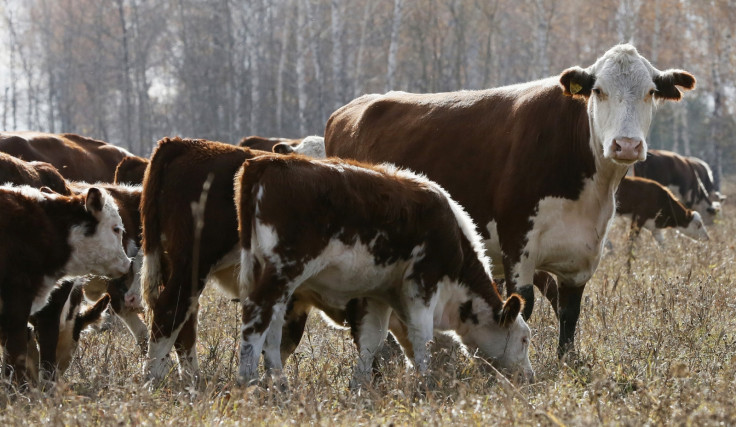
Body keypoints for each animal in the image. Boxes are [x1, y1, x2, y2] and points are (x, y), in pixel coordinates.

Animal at [236, 155, 536, 390]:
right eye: (523, 339)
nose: (529, 378)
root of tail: (265, 162)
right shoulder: (423, 282)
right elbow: (421, 337)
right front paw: (425, 383)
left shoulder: (377, 294)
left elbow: (373, 340)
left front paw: (359, 386)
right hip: (282, 271)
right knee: (256, 319)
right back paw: (248, 381)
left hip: (276, 279)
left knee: (273, 329)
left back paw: (279, 384)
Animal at [326, 43, 696, 358]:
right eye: (598, 91)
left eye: (651, 92)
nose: (627, 145)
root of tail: (348, 110)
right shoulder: (518, 242)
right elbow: (524, 306)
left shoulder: (582, 253)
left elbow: (570, 311)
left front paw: (567, 362)